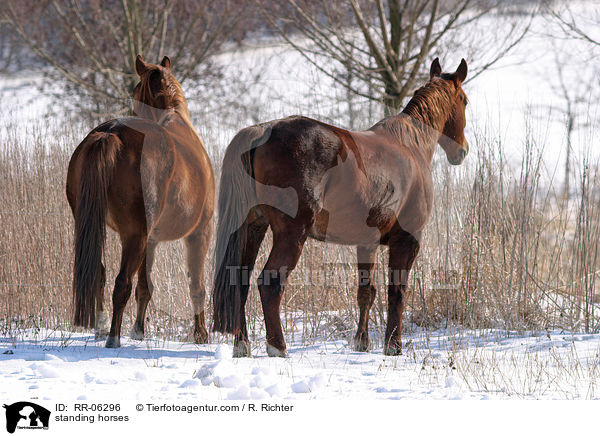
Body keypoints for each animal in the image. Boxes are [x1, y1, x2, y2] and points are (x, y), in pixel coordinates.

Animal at [66, 54, 216, 348]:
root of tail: (110, 134)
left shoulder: (152, 239)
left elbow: (145, 286)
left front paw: (138, 330)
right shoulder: (199, 232)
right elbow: (196, 285)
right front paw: (201, 334)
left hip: (98, 227)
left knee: (99, 274)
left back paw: (102, 327)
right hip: (135, 235)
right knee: (121, 282)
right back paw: (113, 337)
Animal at [213, 58, 472, 358]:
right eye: (464, 101)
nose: (462, 151)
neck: (410, 145)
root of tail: (263, 130)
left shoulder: (367, 243)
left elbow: (366, 292)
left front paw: (362, 341)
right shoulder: (407, 240)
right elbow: (397, 291)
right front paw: (393, 345)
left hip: (252, 227)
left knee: (239, 282)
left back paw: (242, 344)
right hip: (291, 234)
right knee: (270, 283)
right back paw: (277, 346)